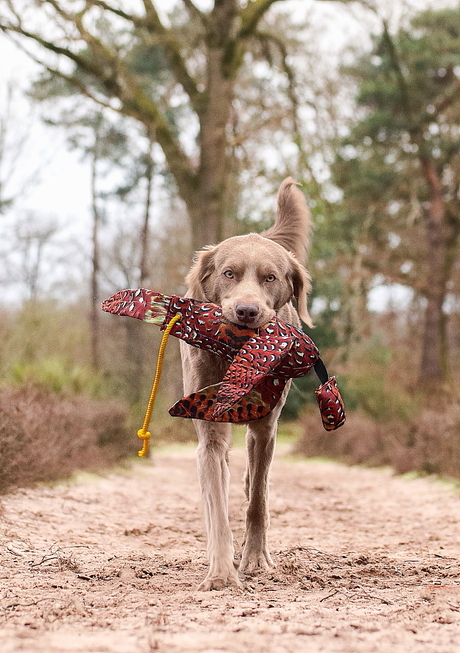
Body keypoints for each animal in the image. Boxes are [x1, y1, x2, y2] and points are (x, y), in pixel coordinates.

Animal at [180, 176, 312, 588]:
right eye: (229, 274)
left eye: (270, 277)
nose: (246, 311)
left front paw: (254, 559)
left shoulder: (265, 428)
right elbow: (217, 506)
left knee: (255, 483)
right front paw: (221, 573)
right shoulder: (209, 431)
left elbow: (257, 499)